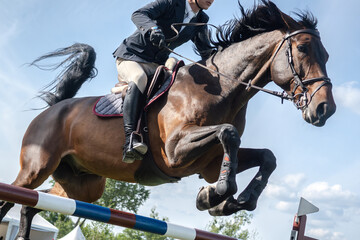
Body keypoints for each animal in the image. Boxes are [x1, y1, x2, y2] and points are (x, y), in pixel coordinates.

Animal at [0, 0, 338, 239]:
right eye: (303, 48)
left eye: (327, 55)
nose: (326, 109)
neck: (222, 90)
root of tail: (56, 108)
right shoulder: (176, 150)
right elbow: (229, 133)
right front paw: (215, 195)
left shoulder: (208, 162)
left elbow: (267, 157)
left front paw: (232, 201)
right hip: (36, 168)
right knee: (14, 196)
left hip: (84, 184)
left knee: (34, 204)